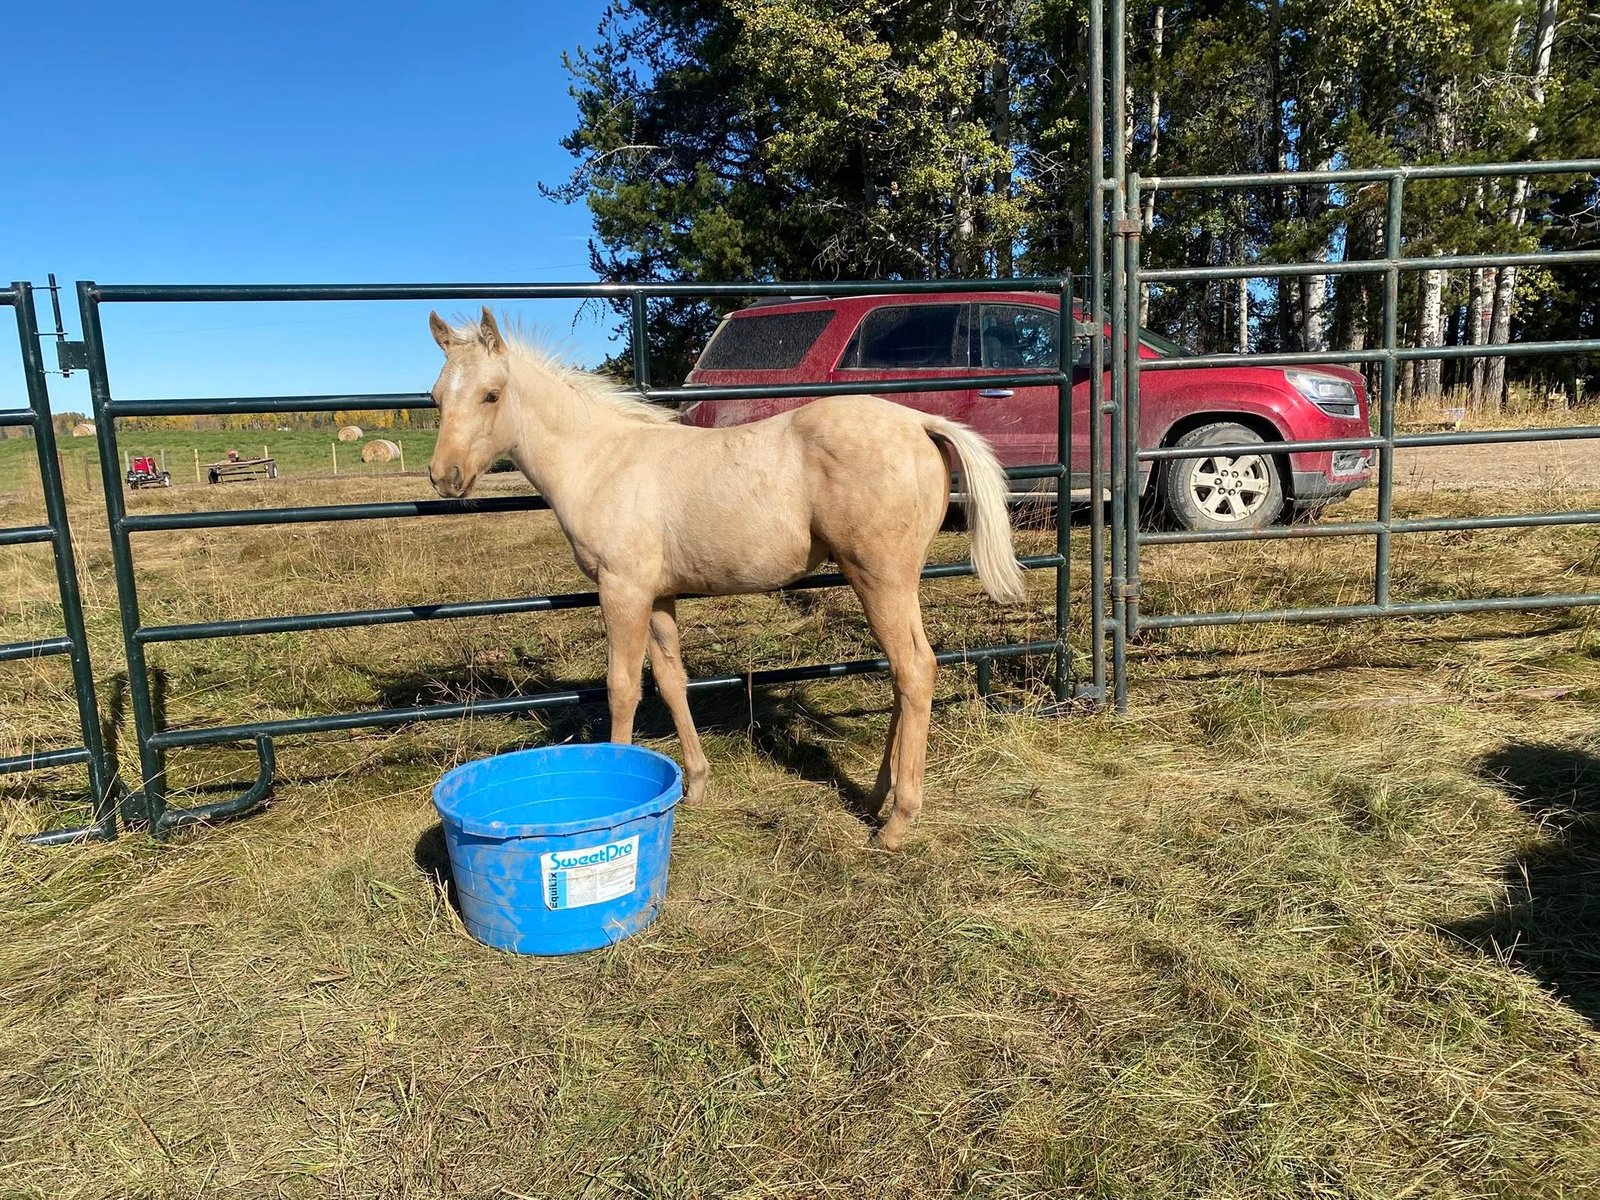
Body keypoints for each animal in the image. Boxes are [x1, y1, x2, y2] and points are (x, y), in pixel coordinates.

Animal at [426, 308, 1025, 849]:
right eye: (435, 397)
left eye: (491, 395)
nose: (444, 477)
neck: (602, 461)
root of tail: (920, 423)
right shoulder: (658, 596)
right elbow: (672, 682)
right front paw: (695, 784)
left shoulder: (622, 590)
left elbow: (623, 688)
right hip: (895, 582)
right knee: (908, 673)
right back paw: (878, 797)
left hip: (880, 579)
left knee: (915, 671)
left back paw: (897, 823)